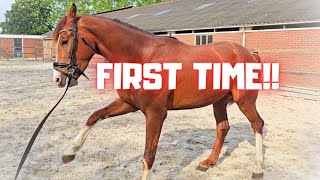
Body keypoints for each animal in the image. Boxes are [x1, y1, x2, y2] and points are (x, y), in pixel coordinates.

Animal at [53, 3, 264, 179]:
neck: (142, 56)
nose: (58, 78)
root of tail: (248, 53)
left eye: (64, 41)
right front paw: (69, 153)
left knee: (257, 125)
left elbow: (148, 156)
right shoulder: (129, 104)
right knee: (223, 127)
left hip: (244, 101)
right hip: (218, 101)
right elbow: (94, 116)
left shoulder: (155, 113)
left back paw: (257, 169)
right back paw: (208, 162)